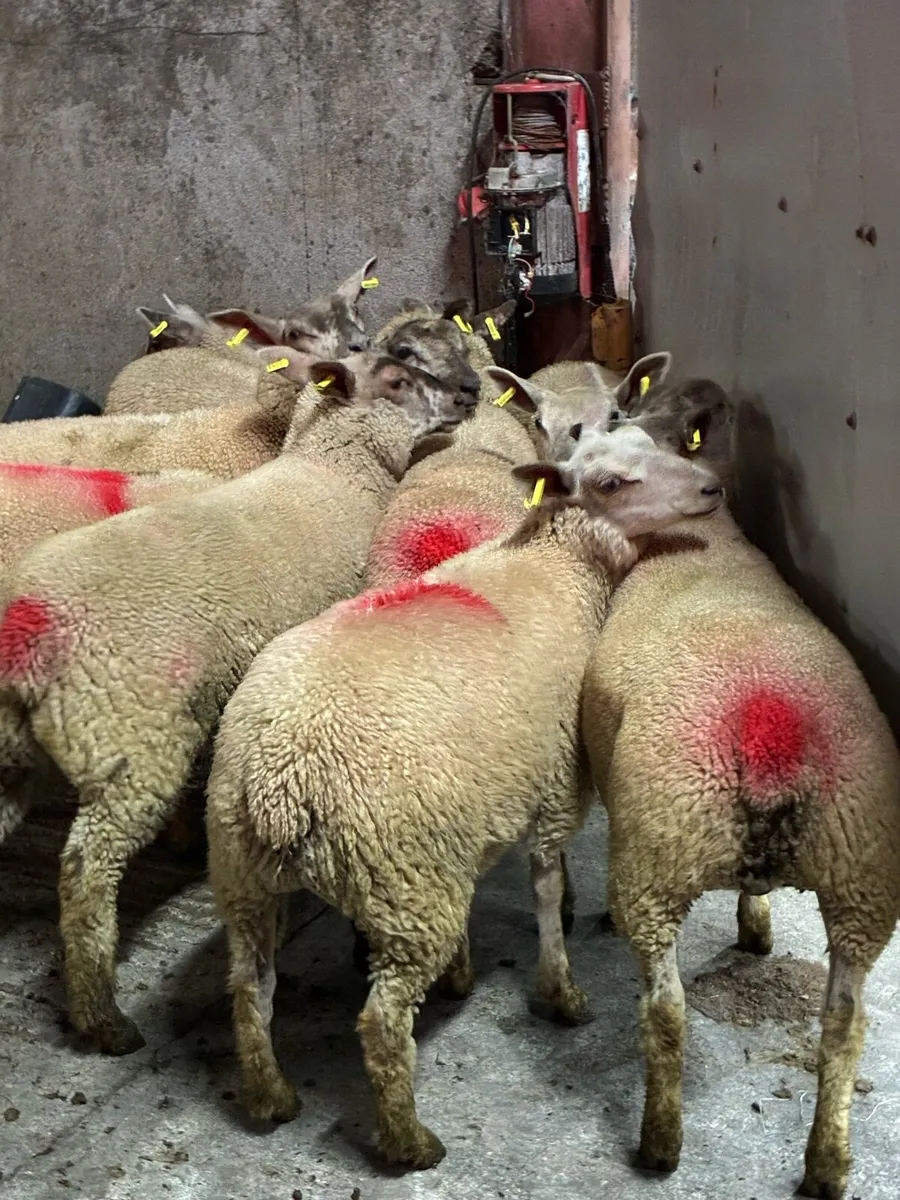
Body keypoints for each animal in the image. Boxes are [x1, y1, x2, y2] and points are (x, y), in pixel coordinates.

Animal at [0, 351, 469, 1056]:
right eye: (396, 378)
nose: (468, 398)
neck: (334, 470)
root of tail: (31, 626)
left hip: (16, 752)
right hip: (131, 743)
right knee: (87, 870)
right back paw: (104, 1016)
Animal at [203, 426, 723, 1169]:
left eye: (649, 440)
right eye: (610, 483)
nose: (713, 487)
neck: (556, 564)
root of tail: (279, 781)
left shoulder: (471, 805)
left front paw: (464, 972)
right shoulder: (554, 782)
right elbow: (544, 886)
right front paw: (559, 991)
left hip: (246, 876)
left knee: (250, 992)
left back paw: (271, 1097)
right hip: (404, 885)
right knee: (382, 1024)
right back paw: (410, 1141)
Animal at [580, 376, 900, 1199]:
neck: (705, 539)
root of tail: (769, 736)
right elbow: (755, 892)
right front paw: (757, 926)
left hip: (658, 855)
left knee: (666, 1012)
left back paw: (660, 1143)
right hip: (862, 875)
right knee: (845, 1024)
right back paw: (829, 1165)